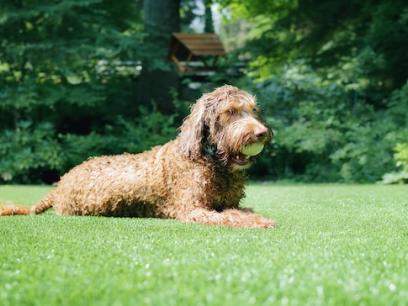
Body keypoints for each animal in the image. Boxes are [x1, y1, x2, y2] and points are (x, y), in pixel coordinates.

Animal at [0, 85, 278, 228]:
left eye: (253, 110)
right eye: (229, 112)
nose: (262, 133)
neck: (210, 161)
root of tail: (60, 184)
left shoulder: (229, 203)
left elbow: (238, 211)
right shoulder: (192, 209)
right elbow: (231, 217)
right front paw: (261, 222)